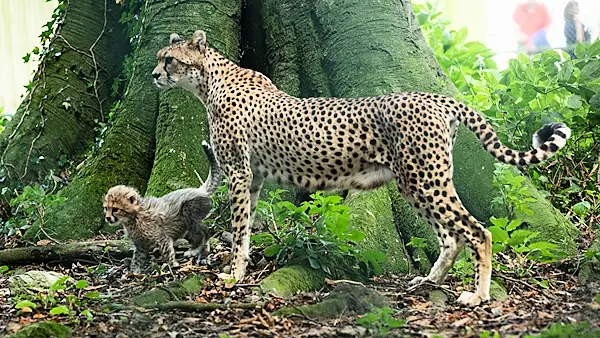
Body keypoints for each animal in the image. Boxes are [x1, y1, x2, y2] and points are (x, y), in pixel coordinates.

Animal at [151, 31, 572, 306]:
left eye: (168, 58)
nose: (154, 75)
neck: (209, 81)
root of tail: (435, 96)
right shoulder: (252, 179)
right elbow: (247, 226)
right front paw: (239, 267)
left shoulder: (239, 173)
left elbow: (239, 230)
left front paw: (234, 275)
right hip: (415, 182)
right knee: (450, 236)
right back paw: (428, 280)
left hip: (425, 179)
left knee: (477, 231)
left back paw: (479, 295)